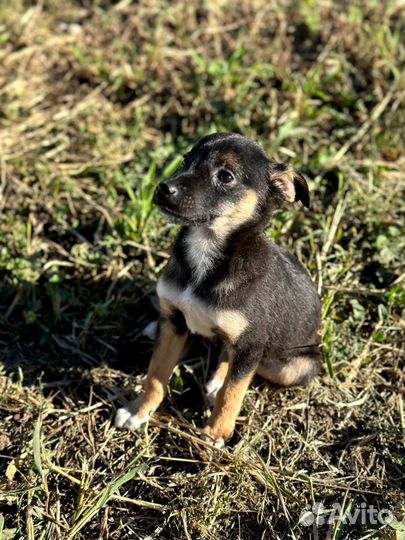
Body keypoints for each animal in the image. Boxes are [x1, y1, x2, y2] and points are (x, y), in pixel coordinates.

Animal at [114, 132, 322, 448]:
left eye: (225, 176)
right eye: (186, 160)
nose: (163, 189)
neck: (206, 251)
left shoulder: (251, 344)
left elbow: (231, 393)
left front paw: (214, 434)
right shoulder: (174, 322)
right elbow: (155, 374)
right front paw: (139, 410)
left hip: (293, 366)